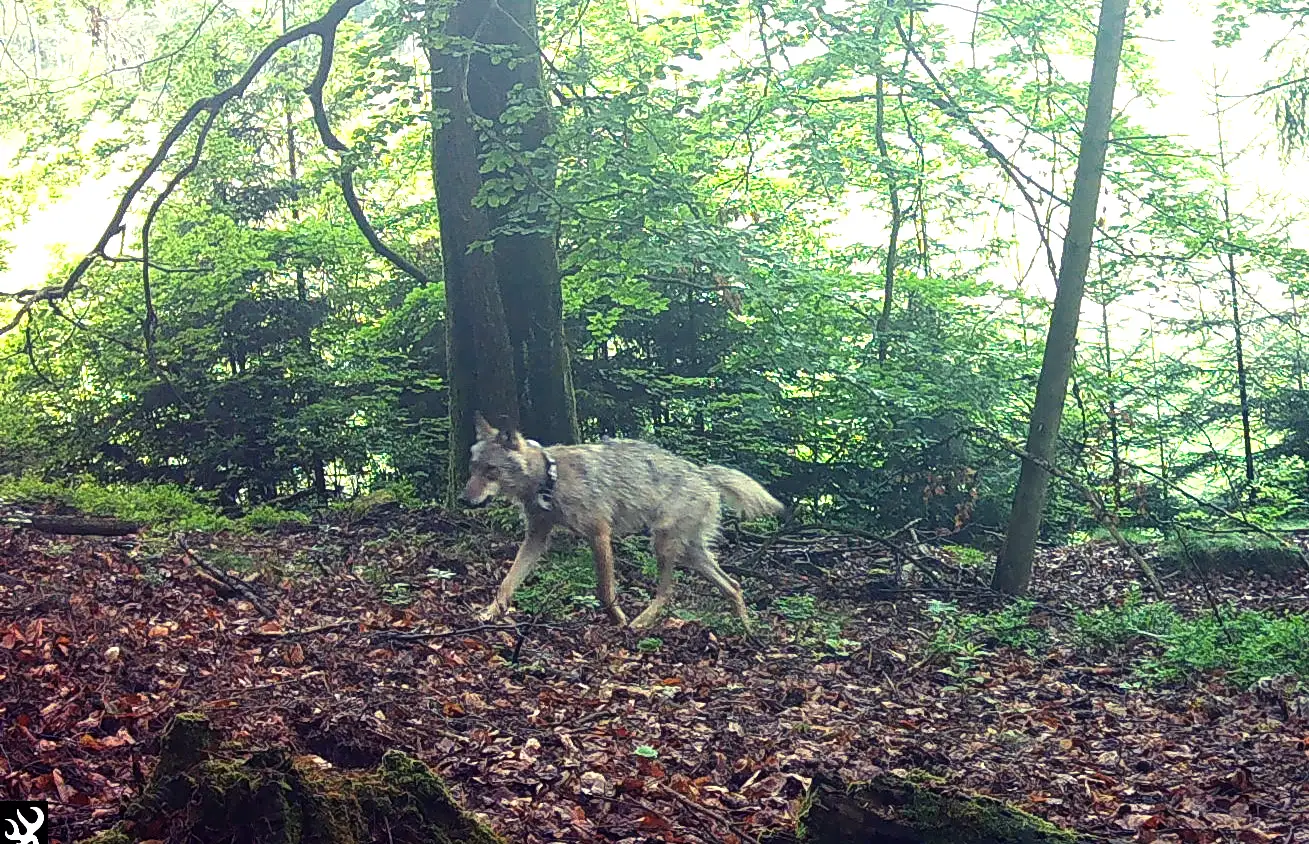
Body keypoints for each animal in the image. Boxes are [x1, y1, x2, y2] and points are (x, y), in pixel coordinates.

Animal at [460, 413, 784, 629]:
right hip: (691, 553)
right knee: (733, 585)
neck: (550, 480)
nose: (464, 499)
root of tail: (703, 473)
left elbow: (605, 592)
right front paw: (488, 614)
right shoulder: (536, 538)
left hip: (664, 545)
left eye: (491, 470)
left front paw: (618, 620)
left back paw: (639, 623)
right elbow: (506, 583)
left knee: (668, 593)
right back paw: (747, 632)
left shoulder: (599, 534)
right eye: (472, 468)